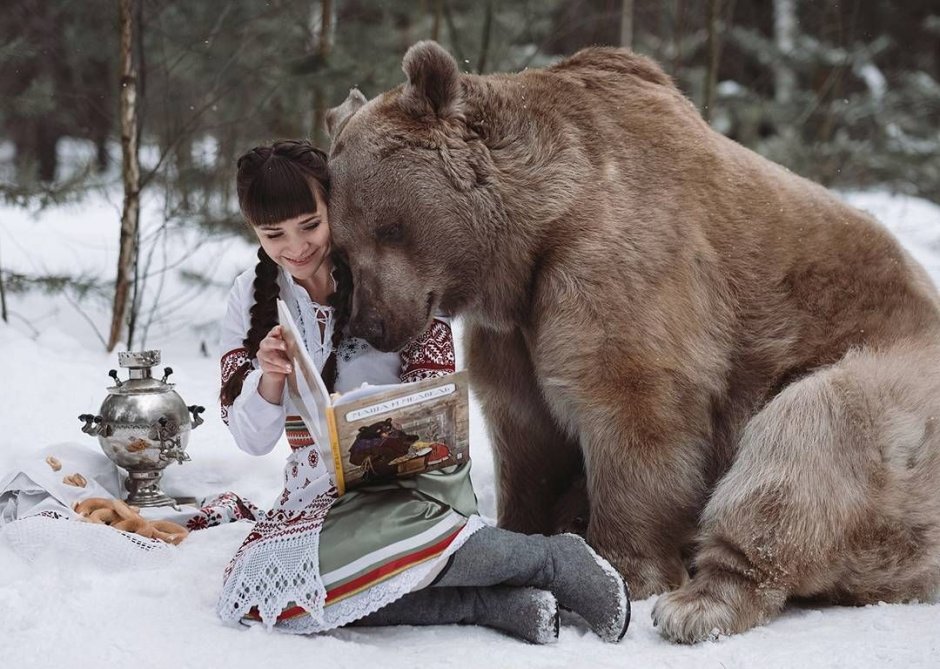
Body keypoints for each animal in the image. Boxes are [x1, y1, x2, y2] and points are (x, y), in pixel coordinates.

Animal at [324, 41, 940, 642]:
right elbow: (526, 432)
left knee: (812, 434)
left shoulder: (617, 263)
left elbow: (632, 405)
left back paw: (699, 604)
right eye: (342, 249)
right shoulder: (515, 330)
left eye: (388, 227)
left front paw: (625, 565)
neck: (533, 235)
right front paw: (521, 526)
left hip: (894, 384)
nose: (371, 323)